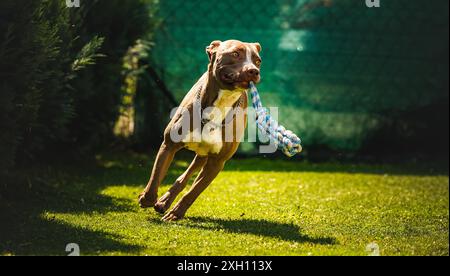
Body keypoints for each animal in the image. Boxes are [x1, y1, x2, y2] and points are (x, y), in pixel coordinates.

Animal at [139, 39, 262, 220]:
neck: (219, 104)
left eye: (257, 60)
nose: (254, 71)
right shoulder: (169, 145)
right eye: (235, 54)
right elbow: (156, 175)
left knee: (187, 176)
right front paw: (147, 198)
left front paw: (176, 213)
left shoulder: (216, 163)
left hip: (204, 155)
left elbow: (193, 192)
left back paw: (165, 202)